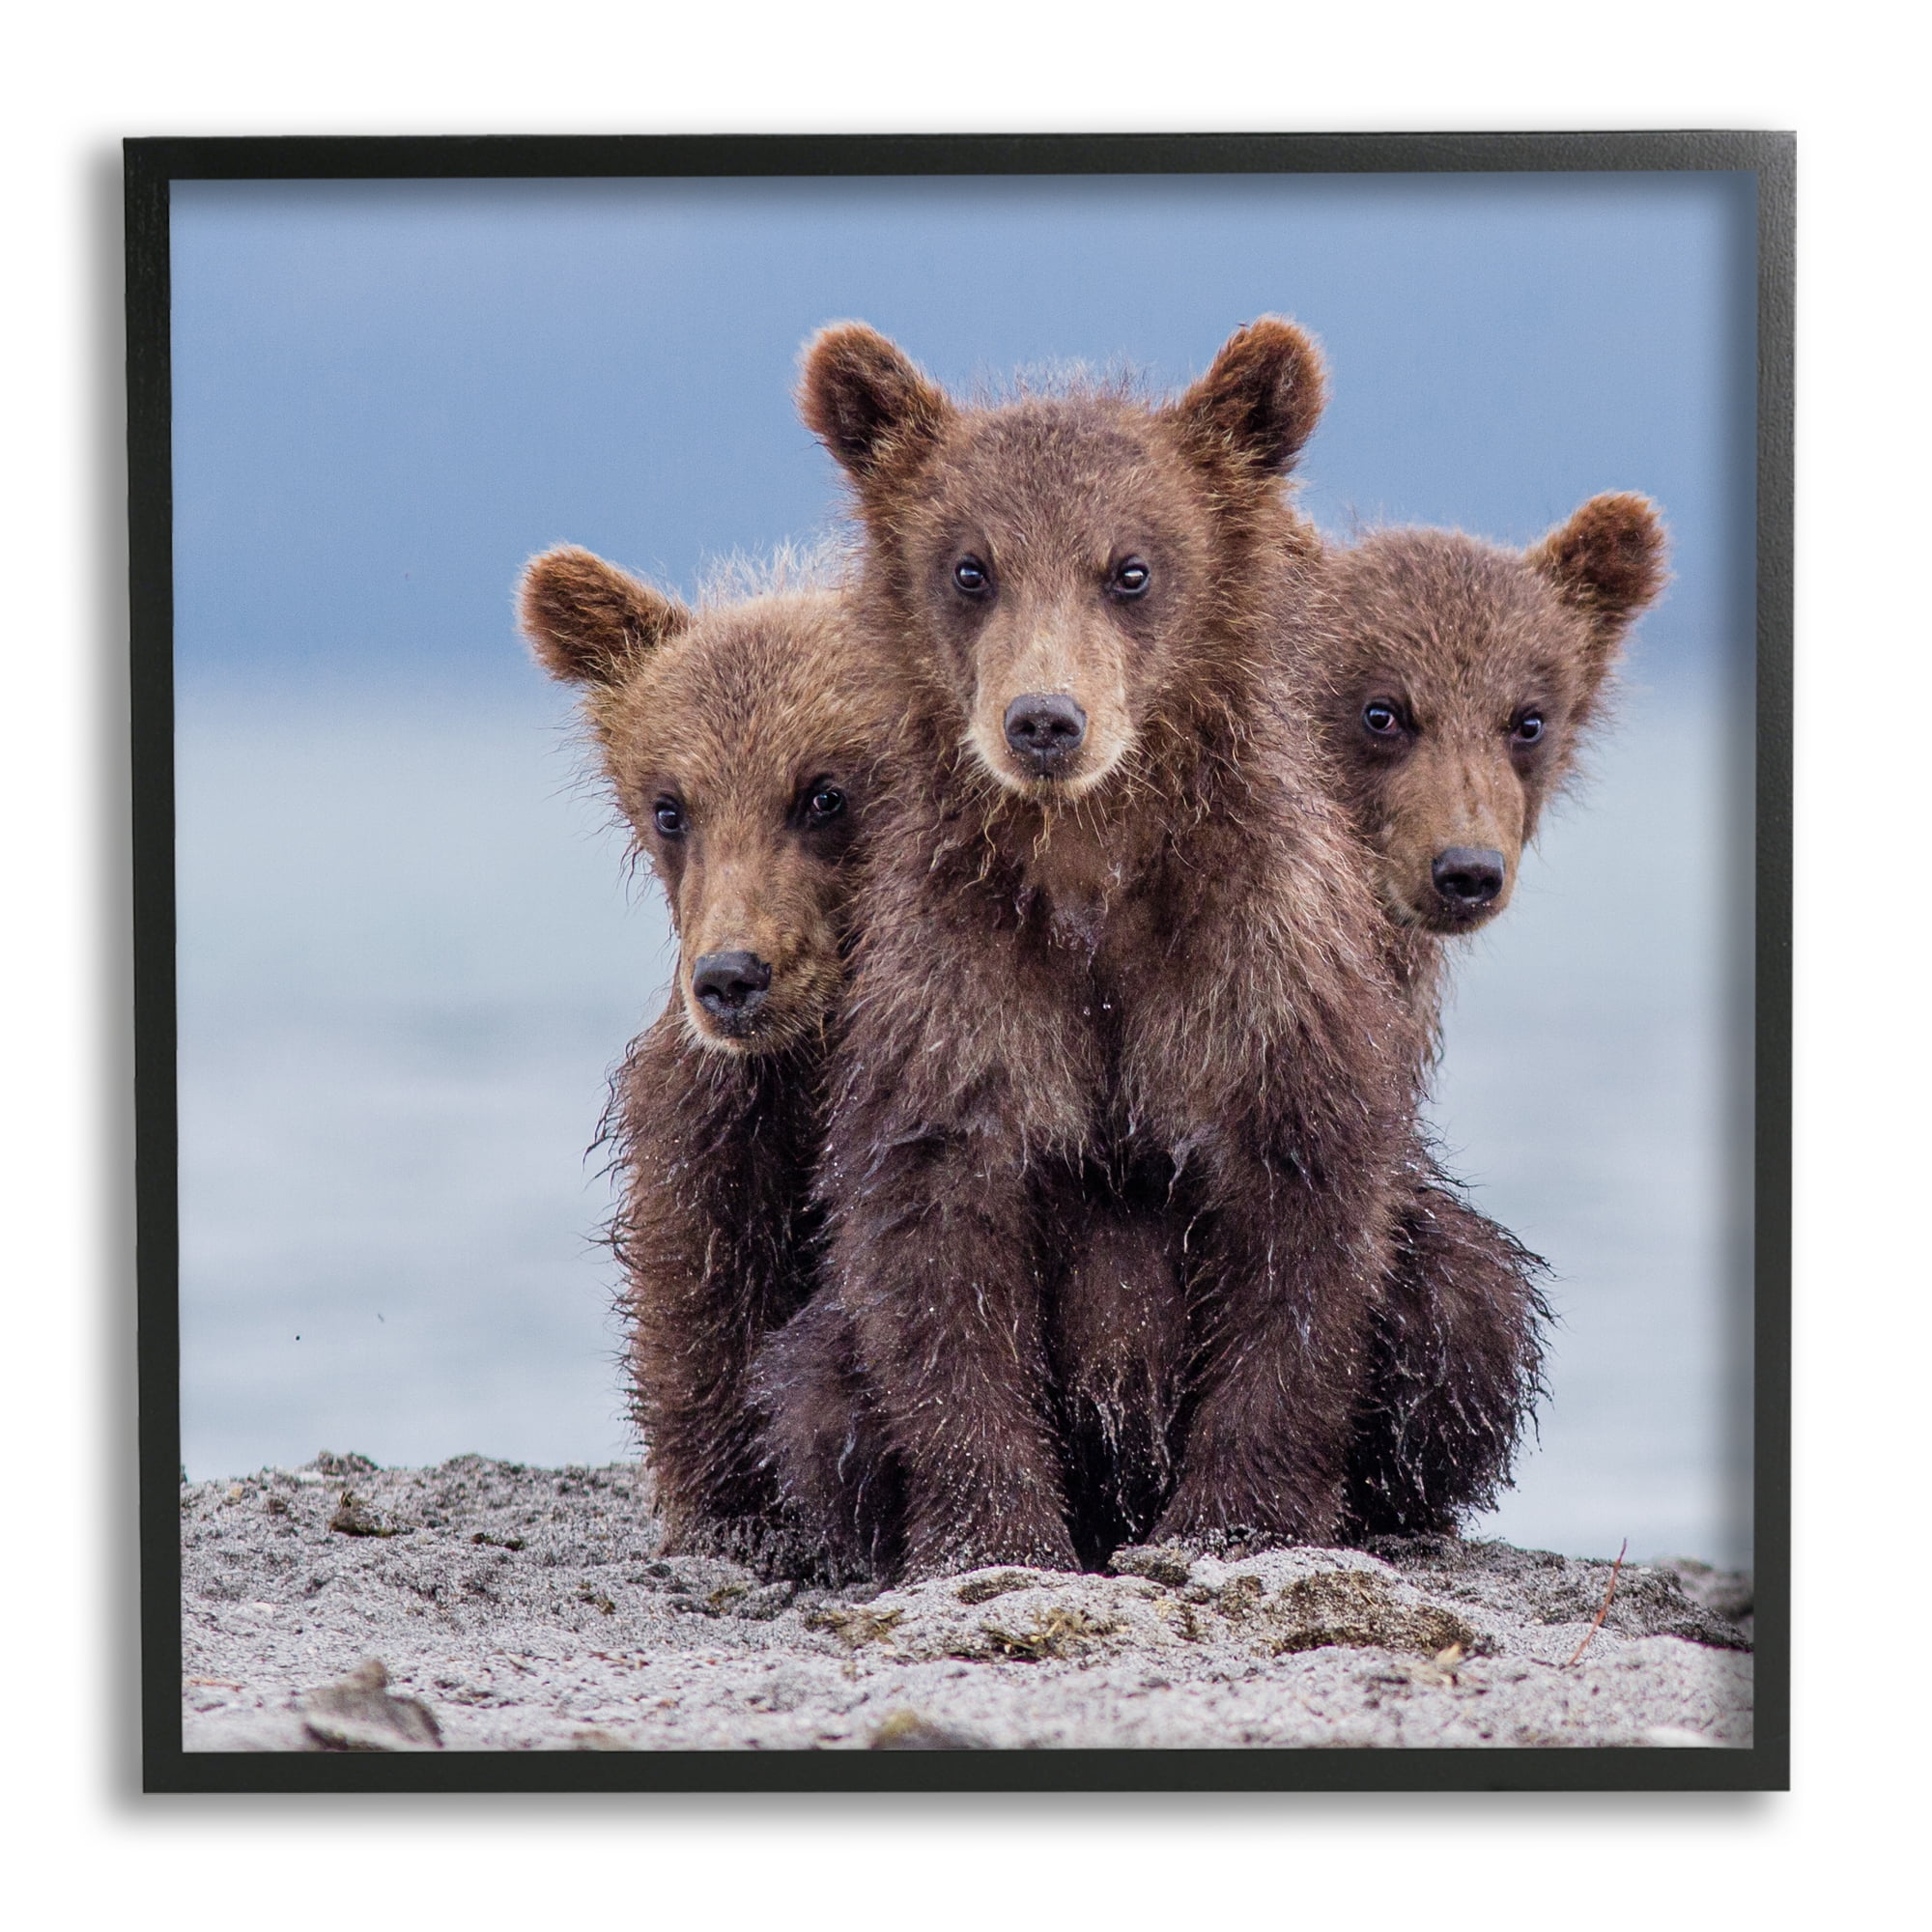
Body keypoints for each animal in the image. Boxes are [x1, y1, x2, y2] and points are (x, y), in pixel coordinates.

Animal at [518, 544, 890, 1564]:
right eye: (670, 807)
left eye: (824, 792)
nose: (731, 977)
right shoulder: (731, 1104)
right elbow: (704, 1261)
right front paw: (733, 1508)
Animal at [787, 317, 1434, 1580]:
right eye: (971, 567)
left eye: (1128, 568)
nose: (1044, 719)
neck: (1092, 869)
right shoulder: (962, 978)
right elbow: (937, 1244)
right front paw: (989, 1533)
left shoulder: (1252, 965)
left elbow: (1298, 1226)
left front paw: (1235, 1518)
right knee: (812, 1388)